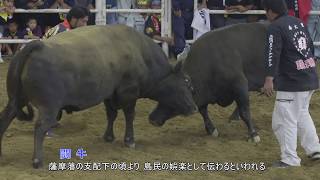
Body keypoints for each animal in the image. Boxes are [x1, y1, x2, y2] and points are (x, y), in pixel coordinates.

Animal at [0, 25, 198, 169]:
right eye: (186, 83)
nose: (194, 108)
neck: (140, 53)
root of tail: (38, 45)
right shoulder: (129, 93)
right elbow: (129, 116)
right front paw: (129, 140)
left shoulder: (110, 94)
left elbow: (111, 114)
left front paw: (109, 137)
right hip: (49, 107)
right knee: (40, 128)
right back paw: (37, 160)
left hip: (16, 100)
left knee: (5, 119)